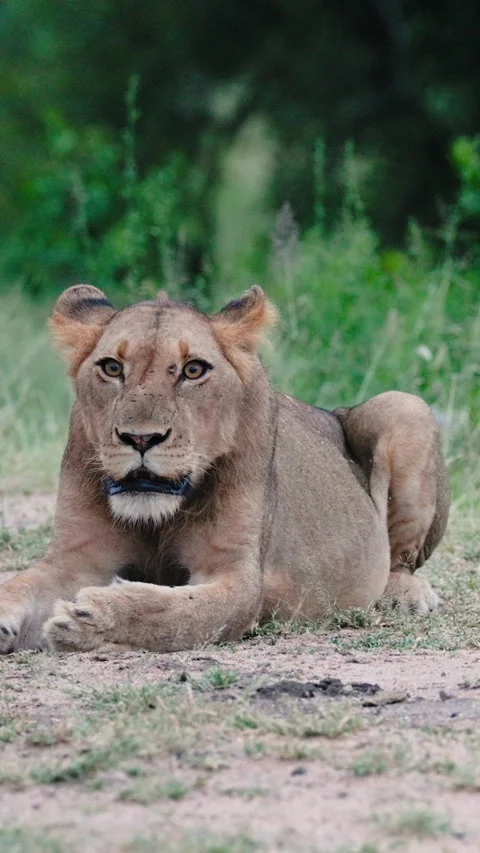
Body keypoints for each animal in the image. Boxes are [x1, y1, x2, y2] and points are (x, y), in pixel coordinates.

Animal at [0, 284, 449, 654]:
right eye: (112, 368)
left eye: (193, 369)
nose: (140, 439)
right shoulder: (76, 559)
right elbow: (16, 585)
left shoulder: (238, 577)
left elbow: (177, 614)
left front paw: (92, 618)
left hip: (406, 406)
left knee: (401, 560)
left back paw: (404, 594)